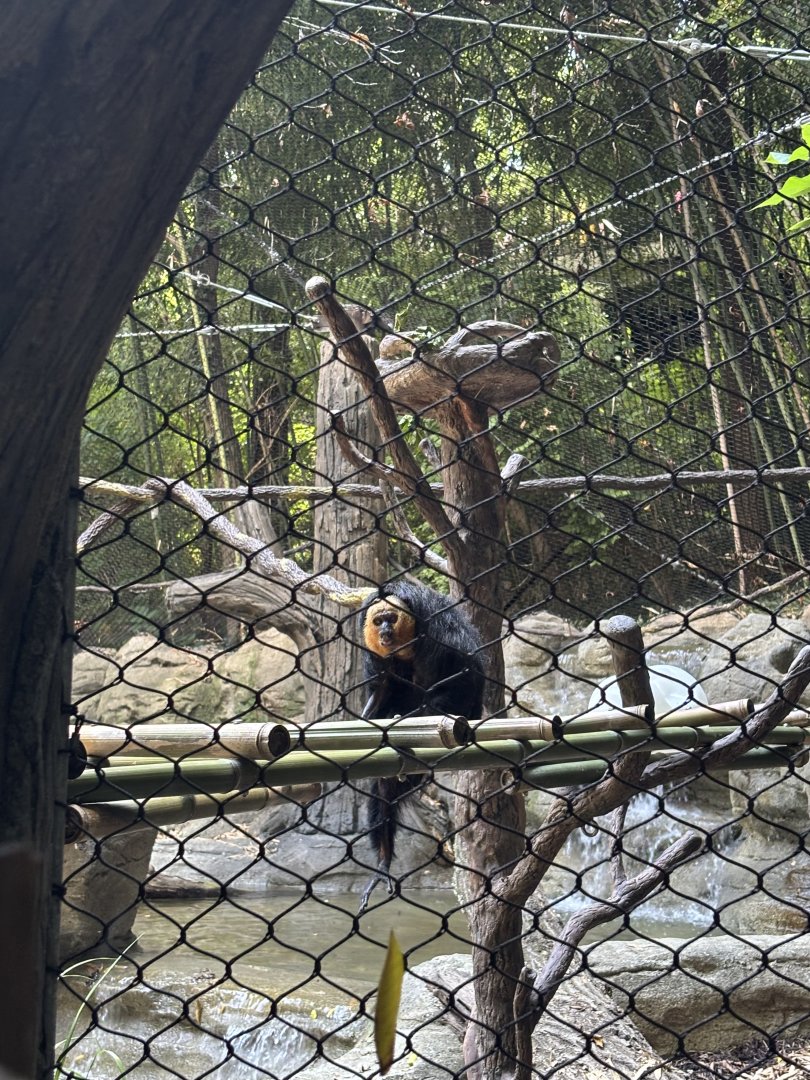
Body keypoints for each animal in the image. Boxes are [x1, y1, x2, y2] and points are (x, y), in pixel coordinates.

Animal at [357, 581, 485, 911]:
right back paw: (383, 862)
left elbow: (458, 677)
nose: (385, 630)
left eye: (391, 618)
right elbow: (382, 686)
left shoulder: (439, 630)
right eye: (378, 620)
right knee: (384, 789)